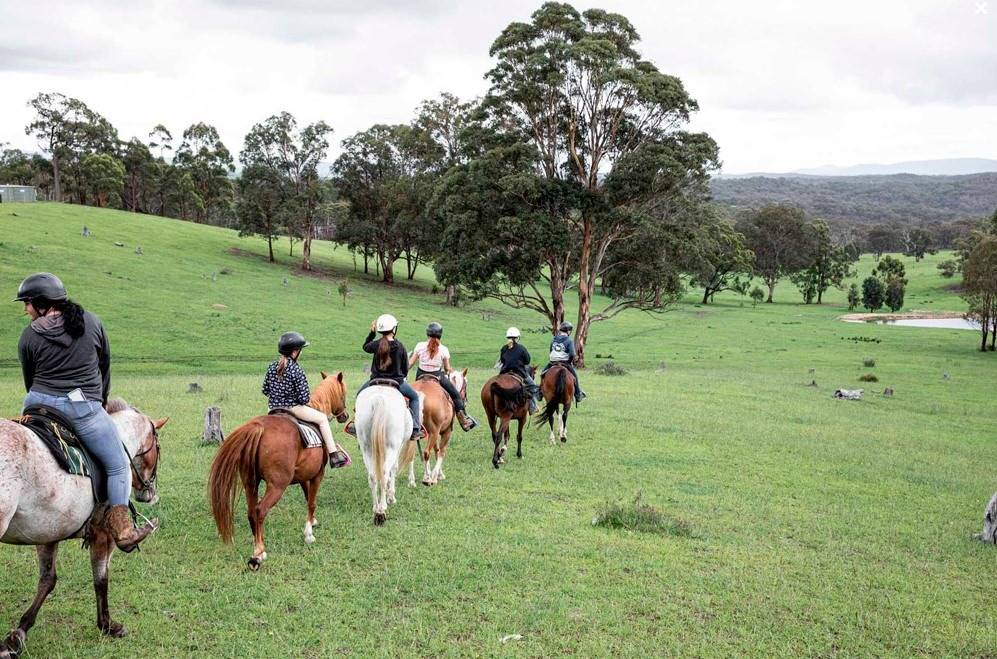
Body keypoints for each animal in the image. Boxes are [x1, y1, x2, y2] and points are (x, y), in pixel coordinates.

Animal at [0, 400, 165, 656]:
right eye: (158, 447)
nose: (149, 494)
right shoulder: (102, 533)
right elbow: (101, 577)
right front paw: (108, 625)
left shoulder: (48, 532)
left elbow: (47, 580)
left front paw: (18, 634)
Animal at [204, 372, 348, 572]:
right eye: (343, 394)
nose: (345, 416)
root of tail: (258, 427)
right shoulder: (317, 475)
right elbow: (312, 502)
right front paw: (309, 534)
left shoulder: (303, 476)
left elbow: (307, 497)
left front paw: (312, 522)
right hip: (277, 486)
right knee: (260, 510)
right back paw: (257, 555)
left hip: (250, 482)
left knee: (252, 512)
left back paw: (260, 549)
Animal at [354, 386, 416, 524]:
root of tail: (379, 399)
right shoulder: (399, 446)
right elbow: (394, 468)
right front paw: (391, 496)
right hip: (392, 446)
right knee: (384, 472)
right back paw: (382, 508)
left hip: (367, 447)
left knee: (373, 476)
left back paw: (376, 507)